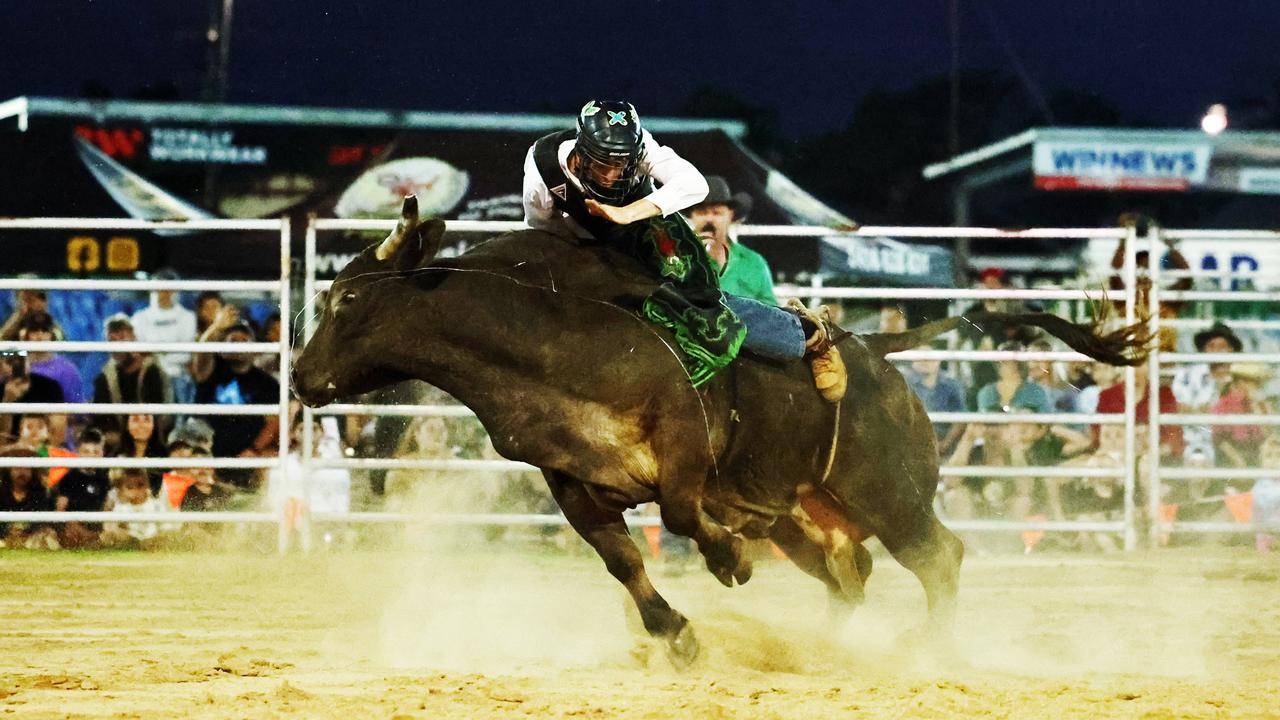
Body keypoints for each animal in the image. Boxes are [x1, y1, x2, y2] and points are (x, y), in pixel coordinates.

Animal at [293, 197, 1152, 666]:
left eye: (346, 300)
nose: (300, 380)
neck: (548, 334)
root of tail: (882, 358)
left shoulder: (680, 439)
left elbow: (679, 513)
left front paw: (728, 558)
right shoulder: (571, 483)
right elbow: (625, 563)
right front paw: (677, 636)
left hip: (889, 492)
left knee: (940, 557)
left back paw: (924, 646)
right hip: (806, 517)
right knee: (849, 575)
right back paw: (825, 647)